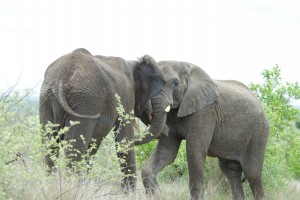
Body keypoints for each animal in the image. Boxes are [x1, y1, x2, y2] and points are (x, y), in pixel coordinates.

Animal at [39, 48, 166, 191]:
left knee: (50, 145)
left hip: (47, 99)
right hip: (84, 100)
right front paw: (128, 193)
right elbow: (124, 138)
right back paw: (71, 188)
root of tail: (61, 77)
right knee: (74, 147)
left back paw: (52, 185)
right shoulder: (125, 97)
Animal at [134, 58, 270, 199]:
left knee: (252, 174)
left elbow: (194, 151)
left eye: (175, 83)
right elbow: (166, 152)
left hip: (259, 132)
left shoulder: (204, 111)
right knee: (231, 172)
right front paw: (157, 195)